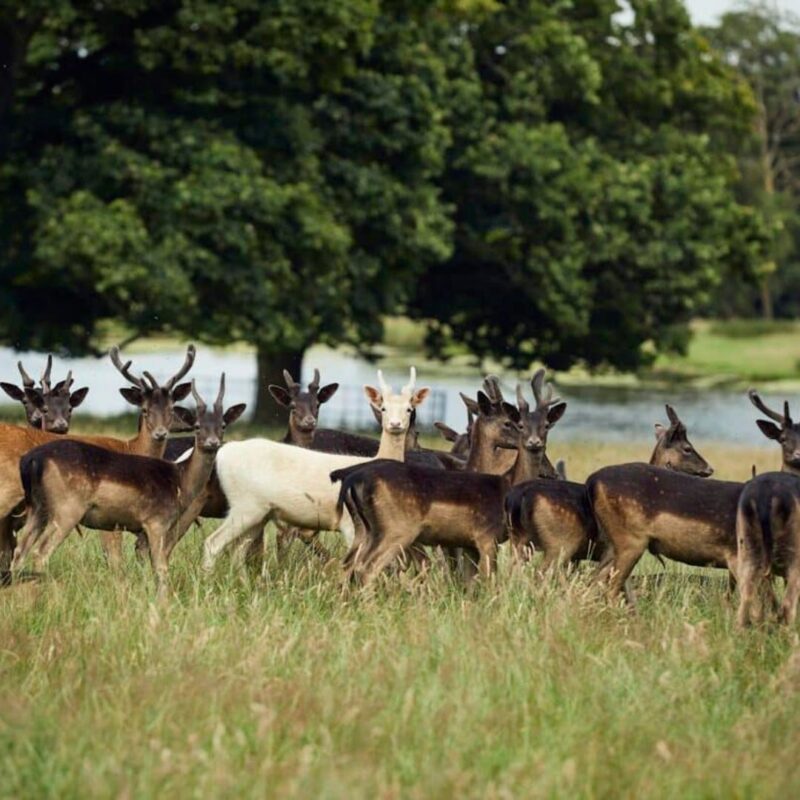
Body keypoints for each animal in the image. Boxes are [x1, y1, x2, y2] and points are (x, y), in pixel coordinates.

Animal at [11, 376, 245, 596]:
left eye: (223, 425)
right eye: (197, 426)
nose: (213, 443)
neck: (179, 480)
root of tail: (31, 460)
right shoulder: (156, 523)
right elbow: (161, 567)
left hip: (38, 508)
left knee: (20, 550)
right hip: (67, 509)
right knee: (41, 552)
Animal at [200, 368, 430, 573]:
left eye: (409, 408)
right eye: (383, 408)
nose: (395, 424)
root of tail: (223, 454)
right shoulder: (349, 522)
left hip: (259, 512)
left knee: (238, 551)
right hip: (246, 504)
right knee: (213, 543)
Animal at [331, 371, 567, 586]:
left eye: (547, 426)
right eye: (512, 423)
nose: (534, 444)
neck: (505, 484)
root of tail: (351, 479)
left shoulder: (467, 544)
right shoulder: (485, 538)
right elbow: (485, 580)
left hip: (365, 530)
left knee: (350, 564)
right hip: (398, 530)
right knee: (371, 569)